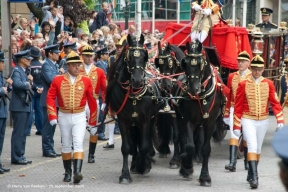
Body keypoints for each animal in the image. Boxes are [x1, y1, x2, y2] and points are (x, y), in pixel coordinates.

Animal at [106, 33, 161, 184]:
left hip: (151, 120)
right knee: (135, 140)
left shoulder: (145, 120)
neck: (134, 94)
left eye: (144, 56)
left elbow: (144, 146)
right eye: (129, 57)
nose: (137, 80)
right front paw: (125, 174)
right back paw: (135, 163)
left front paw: (144, 166)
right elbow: (126, 147)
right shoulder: (123, 121)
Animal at [173, 40, 227, 186]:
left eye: (200, 63)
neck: (201, 96)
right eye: (185, 63)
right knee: (182, 139)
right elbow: (190, 146)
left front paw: (205, 177)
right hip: (179, 117)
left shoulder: (210, 121)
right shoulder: (187, 119)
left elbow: (205, 149)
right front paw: (187, 166)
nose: (193, 89)